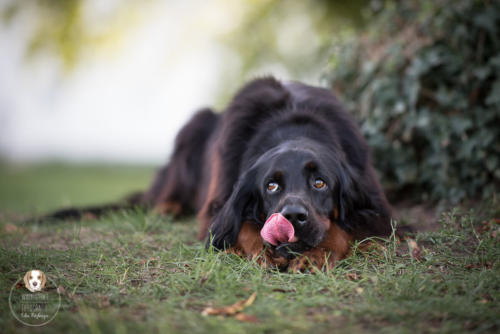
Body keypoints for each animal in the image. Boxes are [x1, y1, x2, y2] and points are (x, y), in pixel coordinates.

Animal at [40, 77, 398, 272]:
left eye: (320, 183)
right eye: (271, 186)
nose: (293, 217)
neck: (293, 124)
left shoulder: (377, 208)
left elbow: (340, 230)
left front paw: (314, 257)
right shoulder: (217, 202)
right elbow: (241, 227)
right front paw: (263, 252)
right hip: (193, 126)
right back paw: (166, 208)